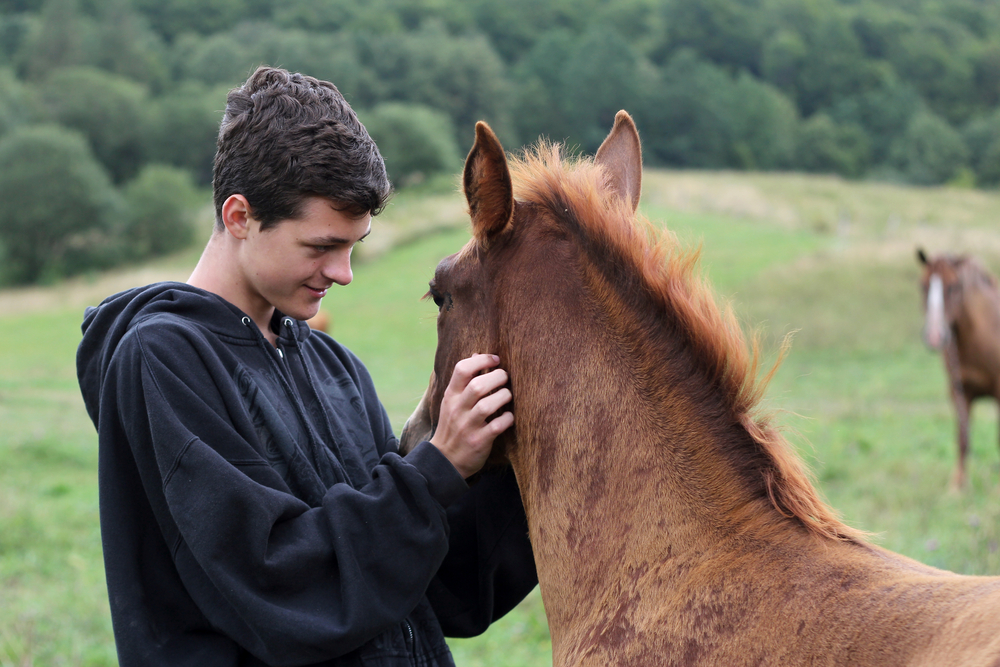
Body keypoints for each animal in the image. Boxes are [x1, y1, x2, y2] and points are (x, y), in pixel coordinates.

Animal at [917, 249, 1000, 489]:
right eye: (923, 286)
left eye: (953, 286)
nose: (935, 336)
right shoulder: (959, 391)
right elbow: (962, 437)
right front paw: (958, 484)